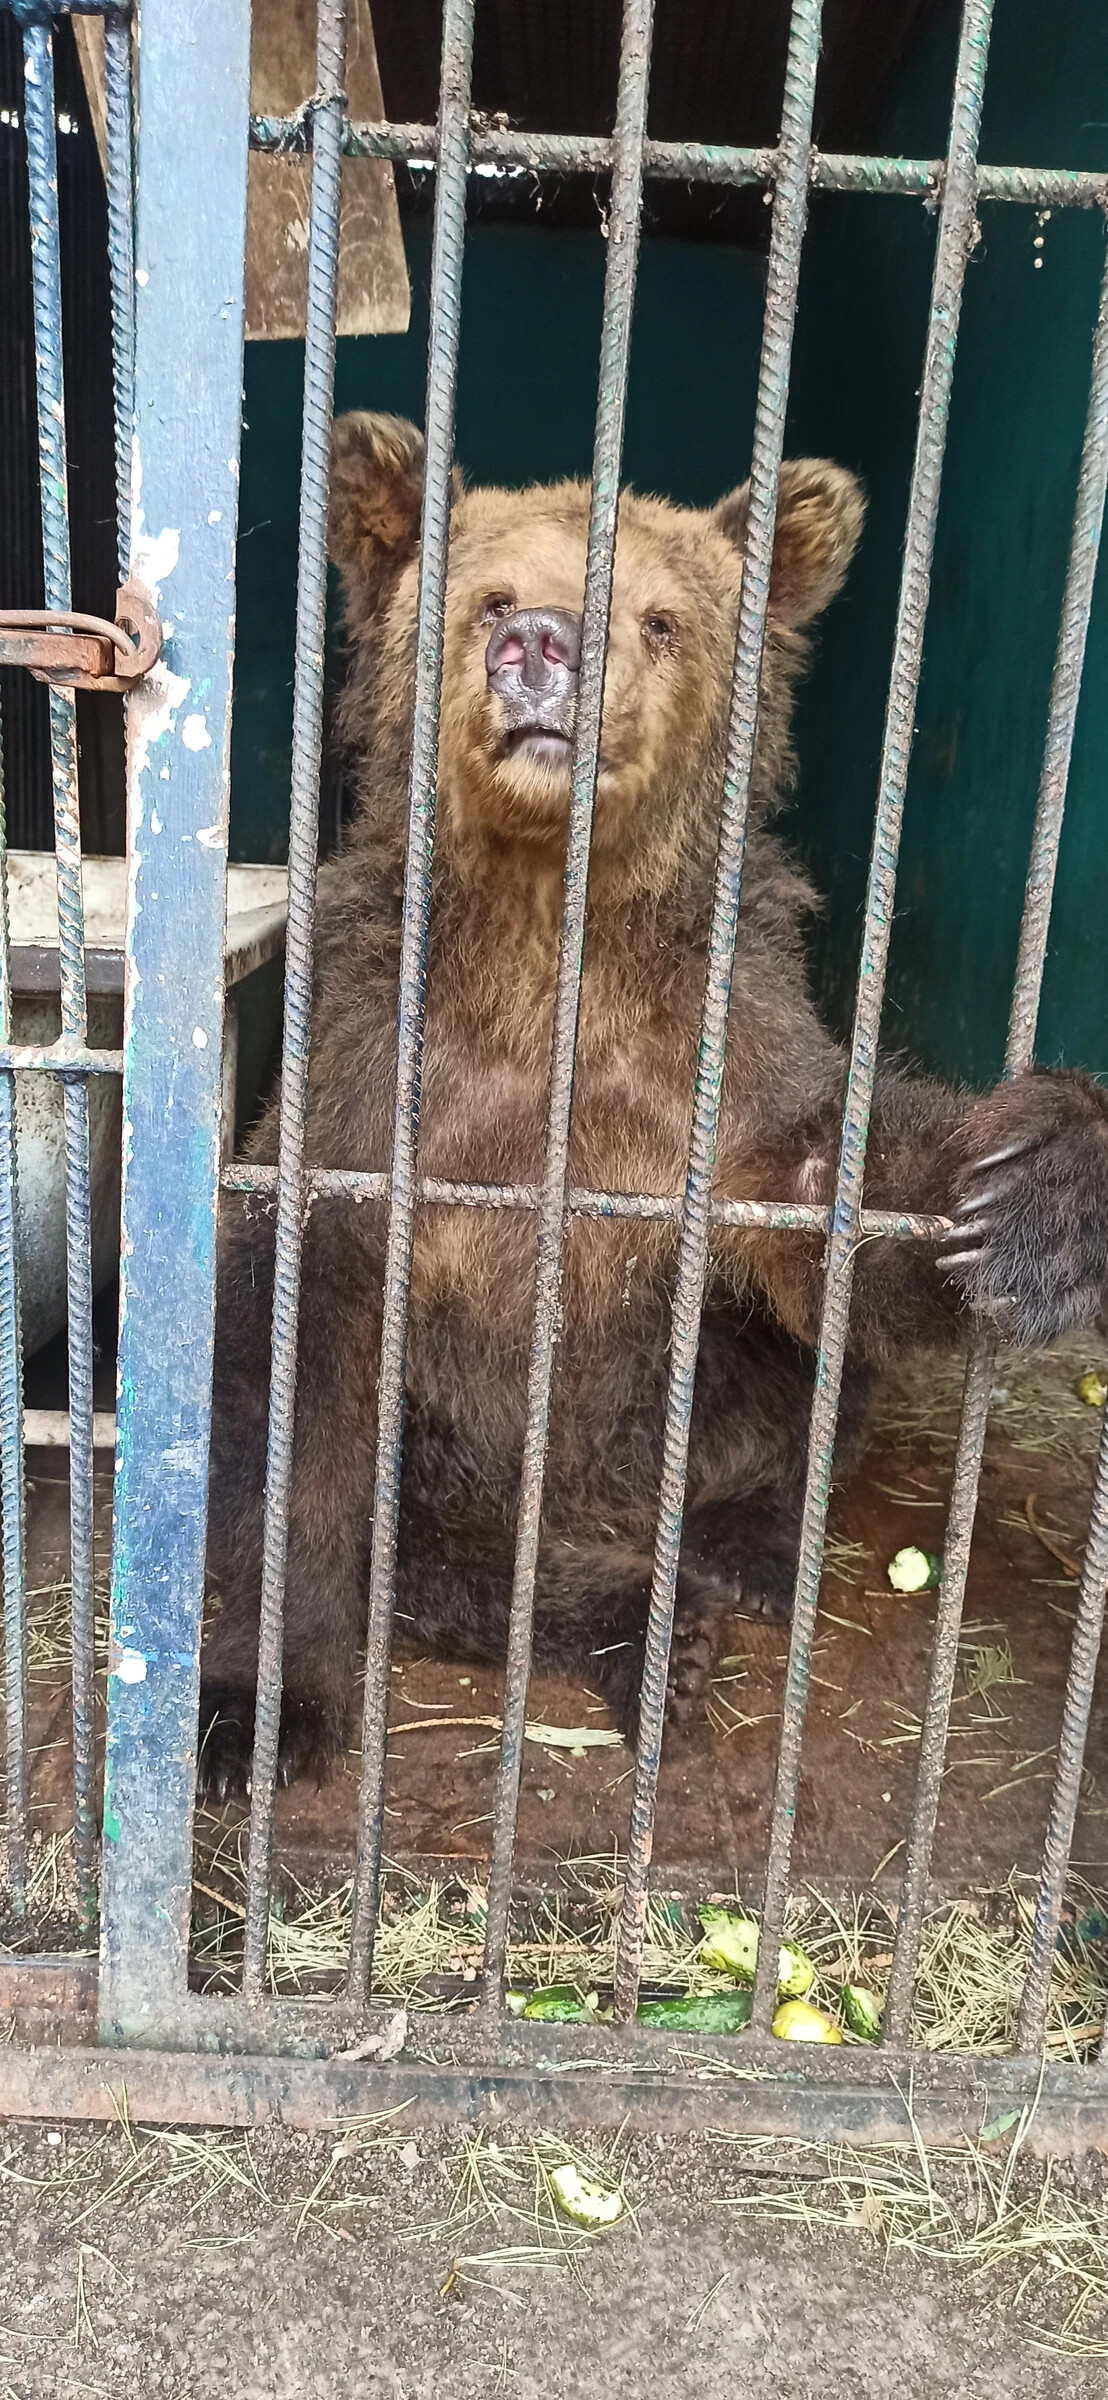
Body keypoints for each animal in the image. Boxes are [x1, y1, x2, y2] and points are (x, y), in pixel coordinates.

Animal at [196, 417, 1108, 1804]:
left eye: (662, 619)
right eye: (489, 597)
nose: (540, 644)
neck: (549, 943)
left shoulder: (718, 1063)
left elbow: (837, 1210)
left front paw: (1037, 1183)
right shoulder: (364, 1079)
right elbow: (292, 1395)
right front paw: (256, 1711)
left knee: (800, 1390)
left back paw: (739, 1555)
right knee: (423, 1541)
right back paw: (638, 1628)